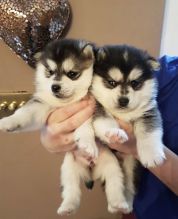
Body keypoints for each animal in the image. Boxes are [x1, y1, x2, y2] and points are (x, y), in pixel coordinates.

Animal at [0, 39, 131, 216]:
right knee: (71, 190)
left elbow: (85, 128)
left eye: (72, 74)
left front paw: (88, 144)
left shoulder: (91, 109)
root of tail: (91, 171)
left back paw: (118, 204)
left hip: (112, 165)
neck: (68, 101)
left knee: (114, 184)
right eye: (50, 72)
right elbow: (25, 113)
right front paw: (8, 121)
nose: (54, 87)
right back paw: (67, 207)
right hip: (69, 169)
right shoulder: (41, 104)